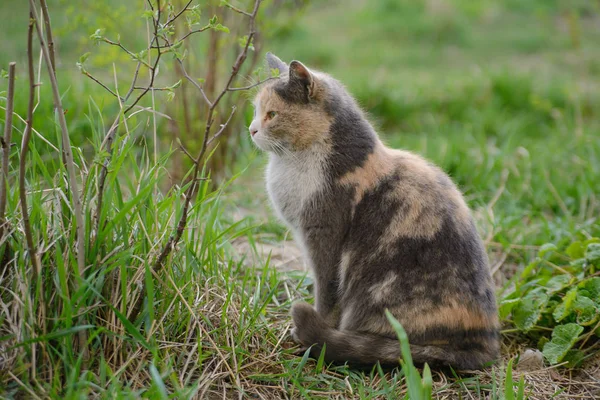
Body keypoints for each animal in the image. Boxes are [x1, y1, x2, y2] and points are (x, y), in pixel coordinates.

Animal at [248, 52, 502, 368]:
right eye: (256, 111)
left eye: (272, 115)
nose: (251, 129)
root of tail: (484, 346)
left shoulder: (323, 236)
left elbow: (326, 293)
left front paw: (314, 328)